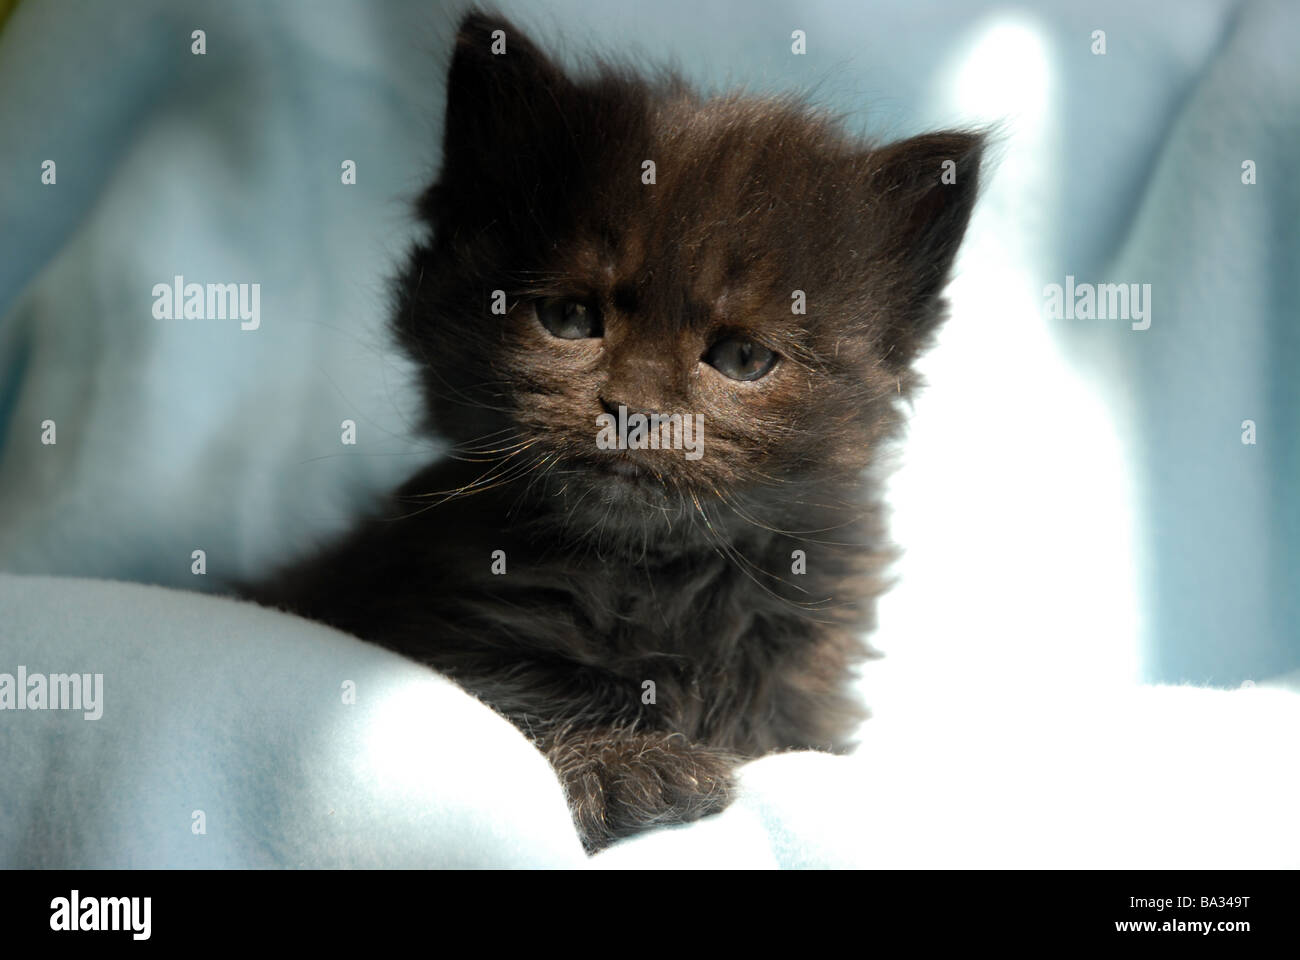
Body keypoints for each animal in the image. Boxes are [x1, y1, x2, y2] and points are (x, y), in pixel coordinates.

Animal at [244, 7, 977, 842]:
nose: (635, 410)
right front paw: (626, 764)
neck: (653, 576)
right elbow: (524, 693)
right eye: (568, 317)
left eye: (743, 357)